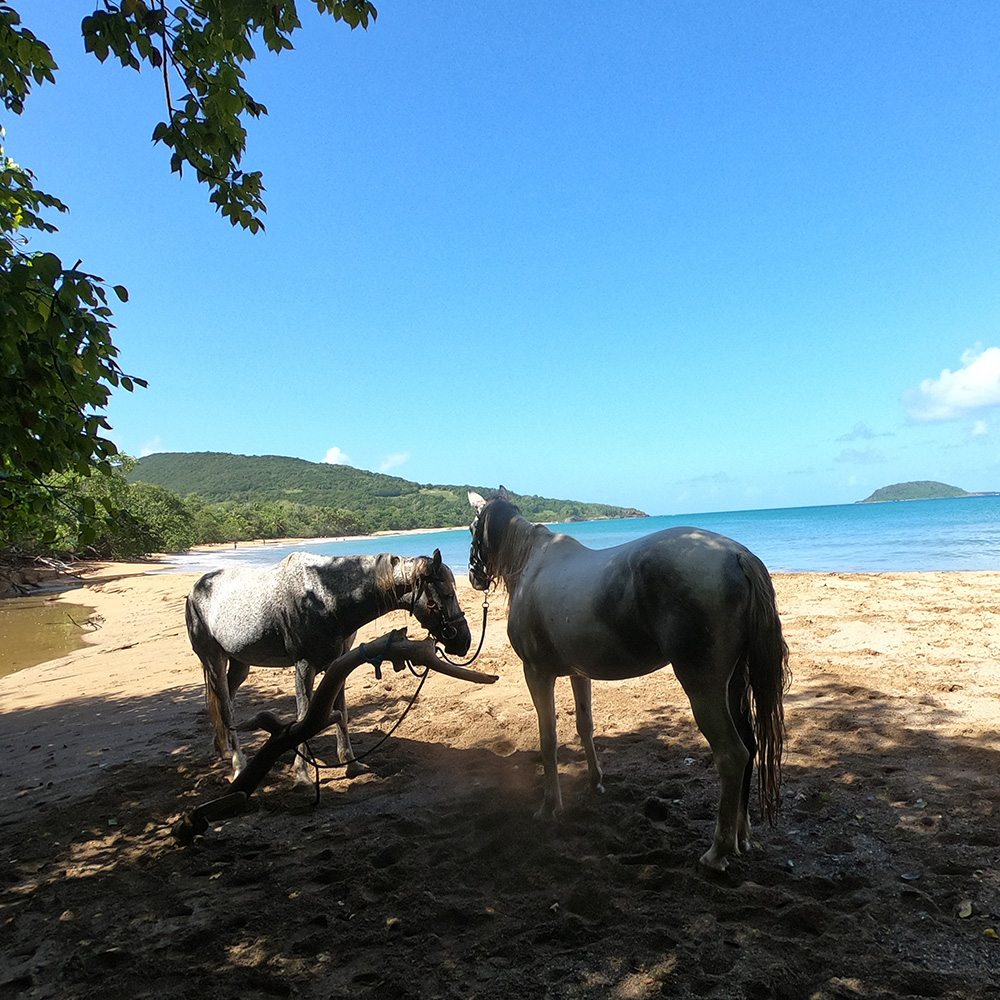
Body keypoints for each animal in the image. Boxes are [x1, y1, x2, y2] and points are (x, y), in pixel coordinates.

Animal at [188, 552, 472, 776]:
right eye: (447, 594)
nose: (465, 641)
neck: (325, 598)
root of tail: (196, 589)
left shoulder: (338, 665)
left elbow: (341, 712)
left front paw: (351, 763)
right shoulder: (304, 666)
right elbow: (303, 717)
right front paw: (301, 773)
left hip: (239, 664)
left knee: (226, 701)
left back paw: (224, 750)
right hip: (214, 660)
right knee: (226, 707)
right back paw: (238, 764)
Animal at [468, 488, 788, 872]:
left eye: (471, 527)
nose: (473, 576)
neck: (532, 563)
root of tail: (737, 555)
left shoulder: (537, 673)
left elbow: (549, 739)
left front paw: (549, 807)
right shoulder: (578, 673)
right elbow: (585, 726)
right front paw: (595, 782)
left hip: (704, 688)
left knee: (732, 755)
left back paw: (717, 852)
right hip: (735, 685)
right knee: (750, 748)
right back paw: (741, 837)